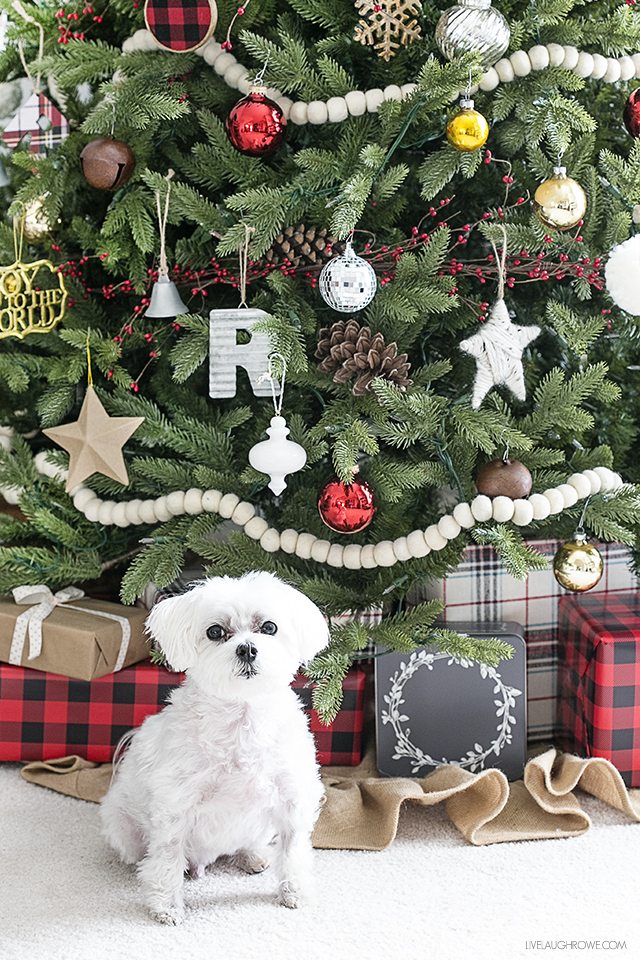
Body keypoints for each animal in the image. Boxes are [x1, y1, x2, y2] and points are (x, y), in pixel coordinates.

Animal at [101, 568, 330, 924]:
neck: (242, 718)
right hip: (123, 827)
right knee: (146, 855)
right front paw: (166, 906)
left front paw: (294, 893)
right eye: (215, 632)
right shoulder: (175, 807)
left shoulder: (291, 798)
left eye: (269, 627)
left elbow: (293, 850)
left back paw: (252, 856)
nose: (247, 649)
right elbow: (167, 859)